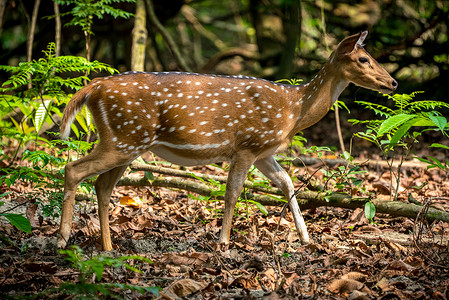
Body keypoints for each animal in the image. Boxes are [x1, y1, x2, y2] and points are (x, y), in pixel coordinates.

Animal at [57, 31, 396, 250]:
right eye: (364, 59)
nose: (393, 82)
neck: (293, 109)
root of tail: (93, 87)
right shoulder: (247, 144)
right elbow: (232, 192)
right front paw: (223, 243)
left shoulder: (264, 150)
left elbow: (287, 183)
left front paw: (306, 238)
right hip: (124, 137)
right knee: (73, 170)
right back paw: (62, 238)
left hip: (127, 142)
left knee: (102, 185)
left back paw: (107, 247)